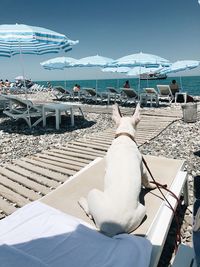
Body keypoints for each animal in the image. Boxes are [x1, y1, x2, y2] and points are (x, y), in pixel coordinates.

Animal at [78, 104, 153, 237]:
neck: (124, 135)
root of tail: (114, 230)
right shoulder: (142, 168)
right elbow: (146, 180)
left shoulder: (142, 170)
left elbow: (146, 180)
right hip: (142, 210)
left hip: (94, 193)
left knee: (89, 213)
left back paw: (82, 201)